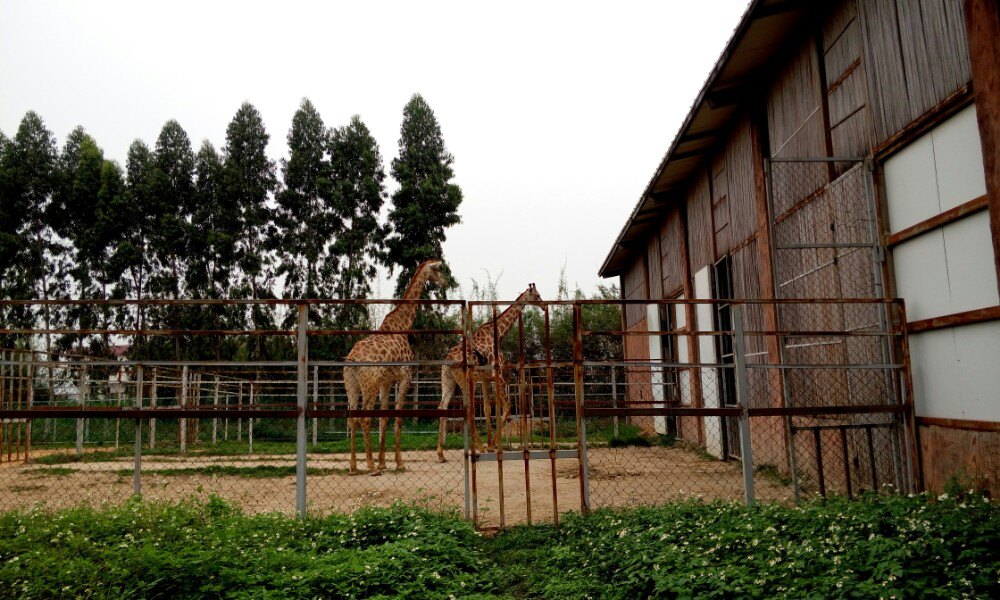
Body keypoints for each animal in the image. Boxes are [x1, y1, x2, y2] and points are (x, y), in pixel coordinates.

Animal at [348, 260, 450, 476]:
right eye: (438, 268)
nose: (445, 282)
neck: (402, 327)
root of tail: (352, 359)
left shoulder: (386, 382)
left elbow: (385, 417)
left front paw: (383, 462)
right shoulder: (405, 377)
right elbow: (398, 416)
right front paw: (398, 463)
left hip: (352, 384)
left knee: (352, 418)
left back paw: (353, 467)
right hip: (369, 384)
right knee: (364, 418)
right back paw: (370, 468)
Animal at [438, 284, 544, 462]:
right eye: (537, 295)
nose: (543, 305)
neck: (498, 334)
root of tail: (448, 359)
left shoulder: (486, 379)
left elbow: (488, 409)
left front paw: (491, 444)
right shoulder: (498, 376)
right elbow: (506, 408)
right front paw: (491, 445)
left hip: (448, 380)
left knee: (442, 406)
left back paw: (440, 454)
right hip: (465, 381)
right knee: (468, 410)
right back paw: (479, 447)